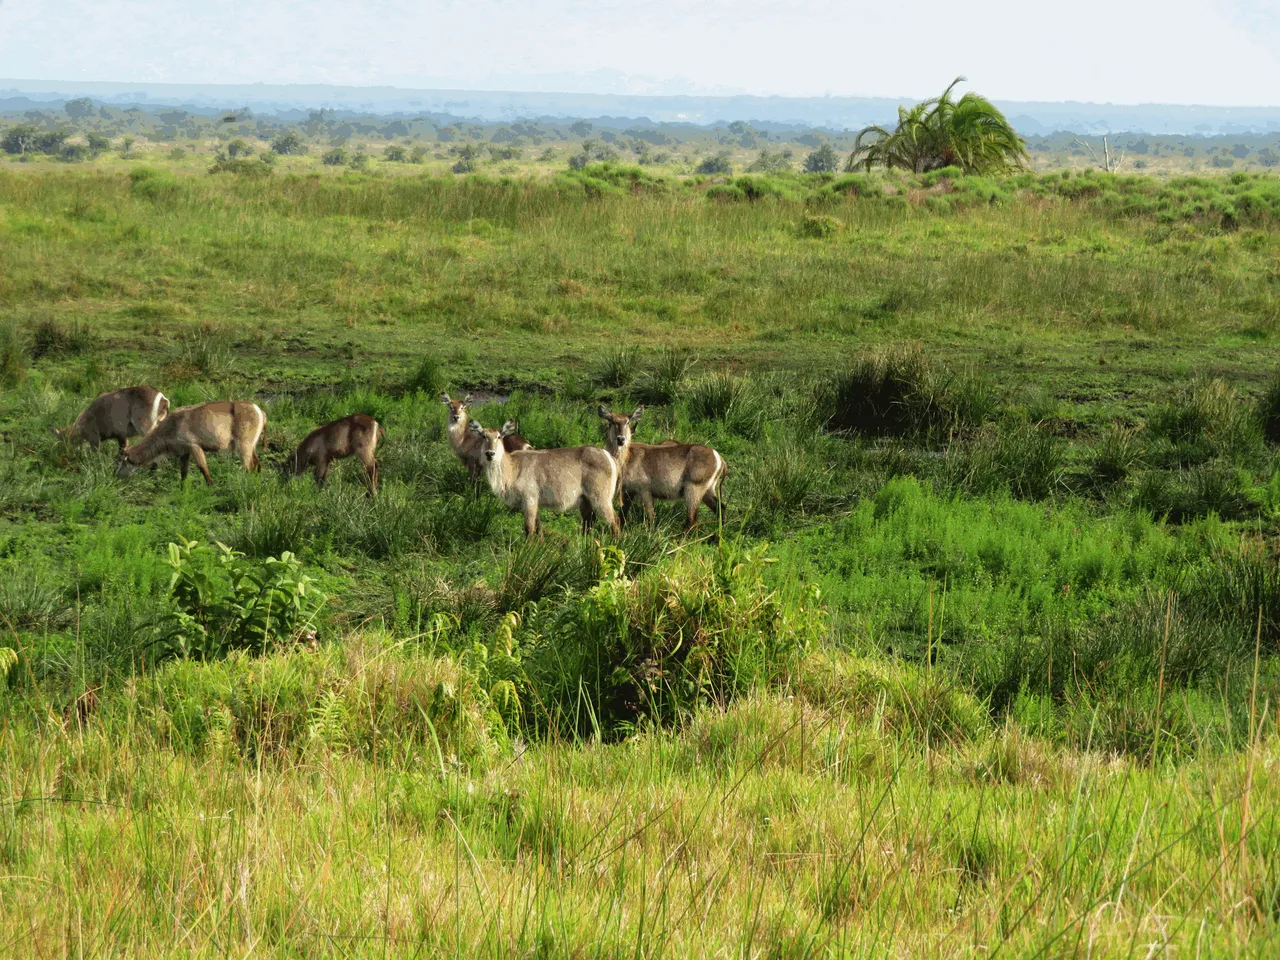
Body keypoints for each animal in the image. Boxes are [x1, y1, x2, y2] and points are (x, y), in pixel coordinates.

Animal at [117, 401, 264, 483]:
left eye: (122, 461)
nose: (116, 475)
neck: (169, 426)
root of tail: (260, 410)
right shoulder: (184, 452)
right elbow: (183, 474)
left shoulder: (194, 446)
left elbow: (203, 469)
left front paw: (210, 486)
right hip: (251, 447)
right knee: (258, 464)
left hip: (243, 446)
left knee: (248, 468)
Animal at [471, 419, 619, 542]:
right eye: (483, 436)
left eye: (499, 436)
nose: (490, 453)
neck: (512, 469)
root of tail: (608, 455)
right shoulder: (533, 502)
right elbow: (538, 527)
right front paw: (540, 544)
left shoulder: (529, 498)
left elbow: (529, 529)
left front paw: (527, 550)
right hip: (585, 500)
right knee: (589, 522)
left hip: (601, 498)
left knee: (615, 522)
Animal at [593, 401, 727, 529]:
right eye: (611, 421)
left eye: (627, 421)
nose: (621, 439)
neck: (626, 459)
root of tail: (719, 457)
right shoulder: (627, 492)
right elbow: (622, 517)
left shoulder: (644, 490)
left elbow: (650, 516)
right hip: (708, 490)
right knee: (721, 508)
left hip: (694, 488)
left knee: (692, 519)